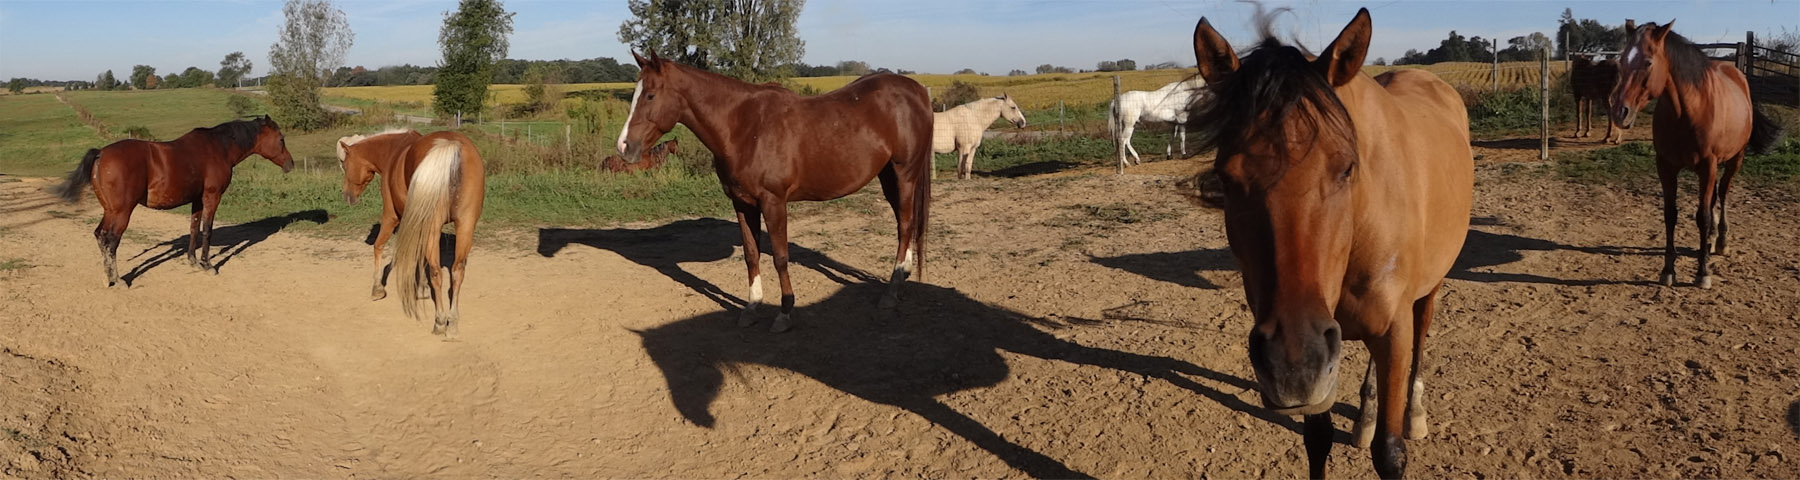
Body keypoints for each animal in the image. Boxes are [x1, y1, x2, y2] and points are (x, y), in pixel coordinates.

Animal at [52, 116, 294, 287]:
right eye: (281, 140)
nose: (291, 164)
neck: (218, 148)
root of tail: (101, 153)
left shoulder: (197, 199)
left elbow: (194, 228)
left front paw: (192, 260)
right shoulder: (212, 196)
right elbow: (207, 230)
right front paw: (207, 265)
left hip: (110, 210)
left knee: (100, 236)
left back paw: (108, 276)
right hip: (122, 212)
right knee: (111, 240)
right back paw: (117, 279)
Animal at [337, 129, 488, 337]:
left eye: (345, 164)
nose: (347, 196)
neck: (393, 152)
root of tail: (453, 146)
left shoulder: (391, 216)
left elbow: (378, 246)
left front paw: (377, 289)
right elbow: (420, 256)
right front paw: (422, 288)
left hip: (433, 226)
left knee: (437, 272)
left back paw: (440, 321)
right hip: (465, 226)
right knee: (457, 271)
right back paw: (453, 323)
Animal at [616, 50, 933, 333]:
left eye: (650, 95)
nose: (624, 147)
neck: (744, 127)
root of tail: (917, 90)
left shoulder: (773, 202)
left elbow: (780, 257)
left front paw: (784, 312)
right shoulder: (743, 203)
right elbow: (751, 254)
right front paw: (751, 308)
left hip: (904, 174)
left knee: (905, 225)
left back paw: (891, 292)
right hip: (888, 176)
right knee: (903, 224)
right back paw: (902, 278)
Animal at [1188, 7, 1473, 478]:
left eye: (1347, 168)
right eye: (1226, 179)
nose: (1293, 363)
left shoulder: (1394, 331)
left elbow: (1390, 452)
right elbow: (1318, 441)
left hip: (1430, 289)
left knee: (1422, 334)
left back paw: (1415, 413)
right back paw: (1365, 417)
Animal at [1609, 21, 1783, 289]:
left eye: (1648, 62)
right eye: (1621, 61)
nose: (1619, 112)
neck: (1689, 110)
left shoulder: (1707, 166)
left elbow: (1702, 216)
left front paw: (1703, 273)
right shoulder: (1666, 166)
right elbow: (1671, 215)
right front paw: (1668, 269)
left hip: (1734, 161)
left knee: (1722, 195)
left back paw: (1720, 241)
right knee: (1711, 201)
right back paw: (1710, 241)